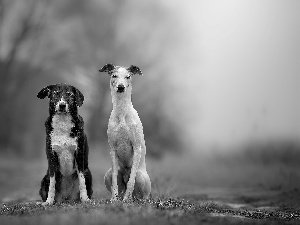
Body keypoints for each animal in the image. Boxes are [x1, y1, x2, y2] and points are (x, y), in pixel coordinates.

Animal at [99, 63, 151, 202]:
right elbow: (114, 181)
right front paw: (114, 199)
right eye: (114, 75)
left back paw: (133, 199)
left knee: (140, 193)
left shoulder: (137, 147)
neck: (122, 114)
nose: (121, 87)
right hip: (108, 174)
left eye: (128, 76)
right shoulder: (113, 149)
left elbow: (131, 181)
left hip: (141, 176)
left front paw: (125, 201)